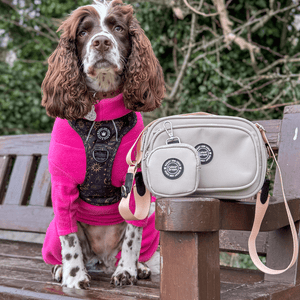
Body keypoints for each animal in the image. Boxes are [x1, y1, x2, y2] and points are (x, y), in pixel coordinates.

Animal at [40, 0, 164, 290]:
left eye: (118, 28)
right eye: (83, 32)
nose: (101, 42)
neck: (103, 113)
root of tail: (103, 259)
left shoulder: (136, 185)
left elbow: (132, 238)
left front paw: (127, 272)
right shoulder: (62, 186)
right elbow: (69, 238)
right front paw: (75, 277)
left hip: (151, 222)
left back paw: (138, 267)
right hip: (52, 231)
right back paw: (61, 269)